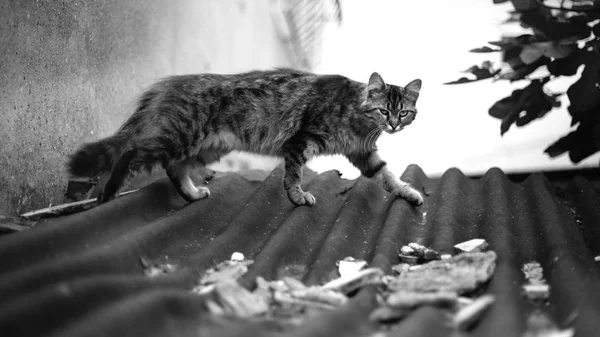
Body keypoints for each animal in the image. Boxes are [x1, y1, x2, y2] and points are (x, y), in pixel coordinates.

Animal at [68, 68, 424, 205]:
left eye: (404, 112)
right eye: (384, 111)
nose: (394, 125)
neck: (357, 117)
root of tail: (171, 83)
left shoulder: (365, 155)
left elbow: (388, 176)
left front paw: (409, 193)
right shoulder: (300, 142)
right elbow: (293, 175)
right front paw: (298, 196)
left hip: (207, 146)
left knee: (174, 168)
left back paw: (192, 194)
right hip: (178, 136)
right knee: (130, 152)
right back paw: (108, 194)